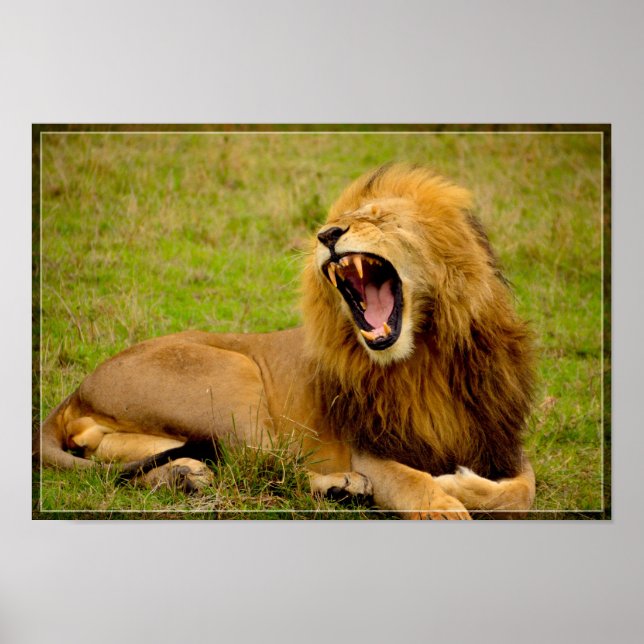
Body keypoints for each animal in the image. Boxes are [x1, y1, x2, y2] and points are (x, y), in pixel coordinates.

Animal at [36, 163, 537, 519]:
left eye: (379, 218)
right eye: (335, 222)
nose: (327, 235)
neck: (425, 356)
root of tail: (78, 387)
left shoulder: (499, 438)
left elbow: (523, 490)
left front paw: (460, 484)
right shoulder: (369, 449)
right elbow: (412, 481)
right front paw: (445, 502)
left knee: (111, 455)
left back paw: (185, 474)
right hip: (235, 376)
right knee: (260, 468)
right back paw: (339, 486)